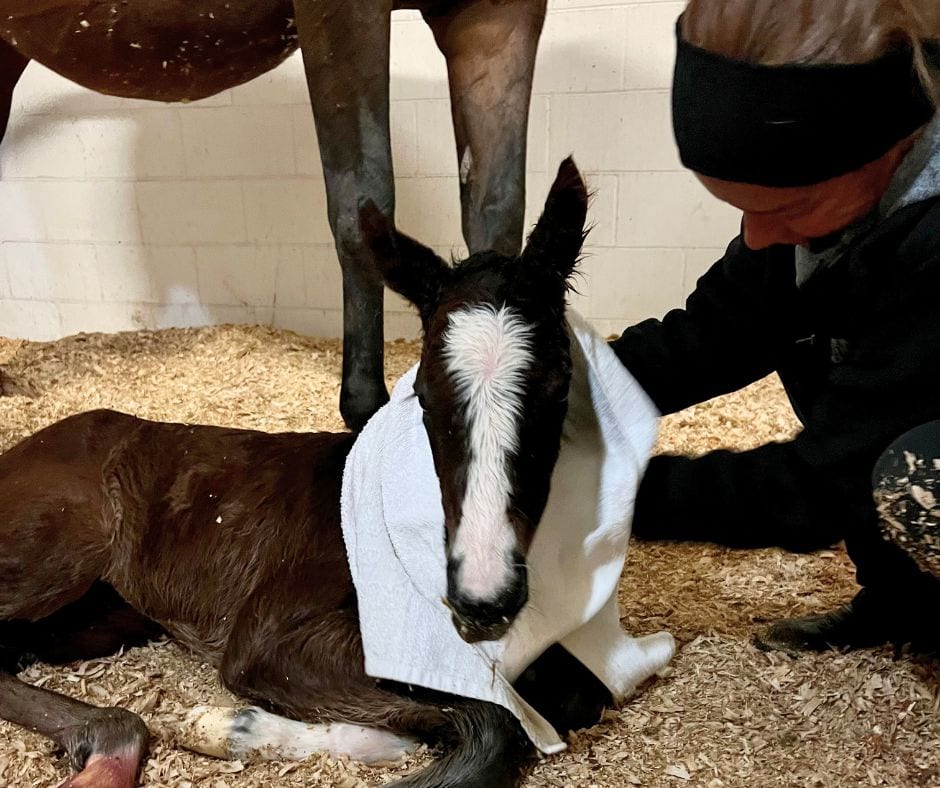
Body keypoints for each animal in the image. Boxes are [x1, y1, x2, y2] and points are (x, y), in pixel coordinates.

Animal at [0, 159, 622, 788]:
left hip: (99, 619)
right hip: (61, 547)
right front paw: (223, 726)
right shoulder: (269, 637)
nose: (483, 601)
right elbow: (493, 721)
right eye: (423, 395)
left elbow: (560, 697)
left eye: (559, 385)